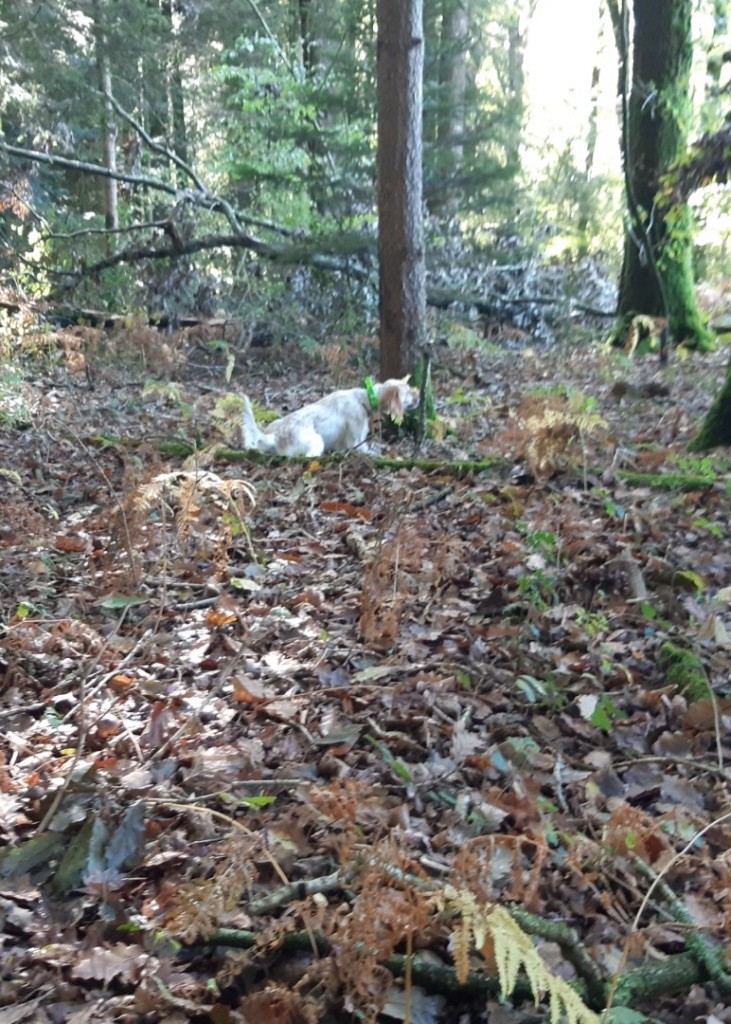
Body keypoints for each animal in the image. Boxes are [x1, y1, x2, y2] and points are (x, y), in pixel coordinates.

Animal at [241, 376, 417, 456]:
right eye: (408, 393)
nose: (418, 397)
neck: (364, 398)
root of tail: (275, 436)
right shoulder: (355, 442)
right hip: (316, 441)